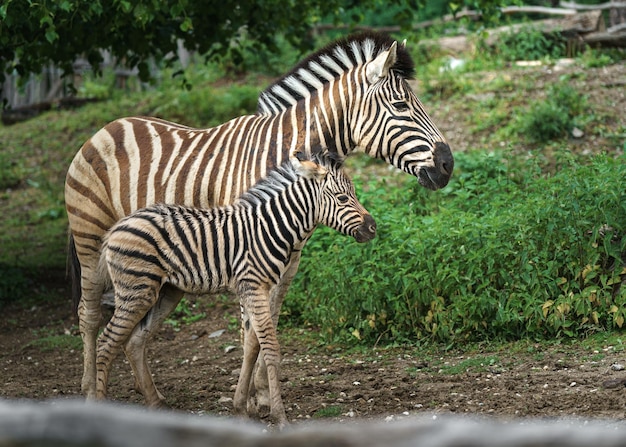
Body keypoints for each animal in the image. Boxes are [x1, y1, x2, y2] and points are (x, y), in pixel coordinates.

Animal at [95, 152, 372, 428]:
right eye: (343, 198)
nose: (373, 228)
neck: (271, 228)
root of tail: (118, 226)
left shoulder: (259, 289)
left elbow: (251, 347)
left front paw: (241, 408)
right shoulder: (253, 286)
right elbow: (270, 348)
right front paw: (279, 416)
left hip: (166, 291)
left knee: (135, 341)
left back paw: (156, 404)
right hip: (136, 290)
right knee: (106, 341)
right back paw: (97, 405)